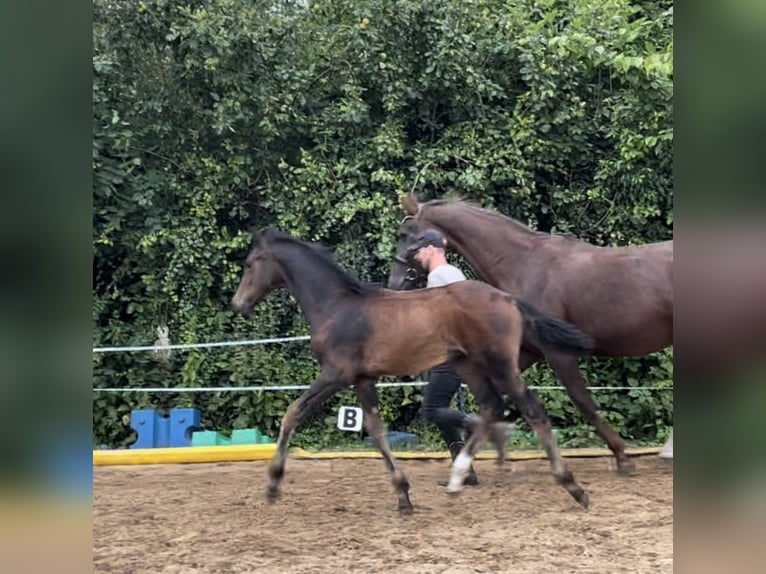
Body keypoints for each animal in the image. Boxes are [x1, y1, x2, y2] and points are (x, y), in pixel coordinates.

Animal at [231, 230, 596, 512]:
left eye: (250, 264)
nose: (238, 304)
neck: (336, 307)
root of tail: (507, 298)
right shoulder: (363, 379)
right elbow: (377, 432)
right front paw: (403, 495)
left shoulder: (336, 374)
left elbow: (293, 413)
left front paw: (273, 485)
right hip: (467, 365)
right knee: (491, 406)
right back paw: (459, 477)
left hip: (500, 365)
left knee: (532, 410)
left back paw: (573, 487)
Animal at [390, 194, 672, 472]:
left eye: (406, 234)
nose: (395, 283)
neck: (525, 264)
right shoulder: (527, 350)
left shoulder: (557, 352)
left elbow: (582, 400)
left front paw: (622, 455)